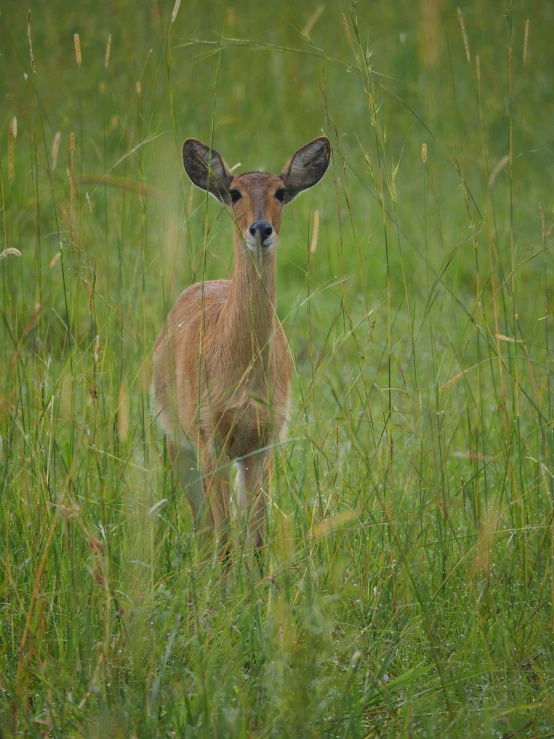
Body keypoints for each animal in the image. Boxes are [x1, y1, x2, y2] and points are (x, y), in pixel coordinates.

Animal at [150, 136, 328, 556]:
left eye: (281, 191)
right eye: (234, 192)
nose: (260, 228)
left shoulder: (264, 438)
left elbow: (258, 536)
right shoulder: (208, 436)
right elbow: (226, 536)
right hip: (178, 444)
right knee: (203, 529)